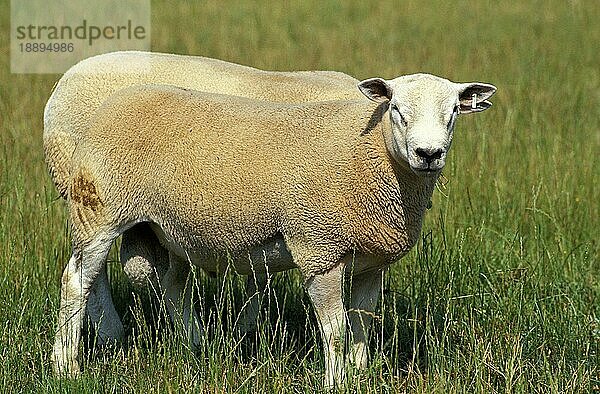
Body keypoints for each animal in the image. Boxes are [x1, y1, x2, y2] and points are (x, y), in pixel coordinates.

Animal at [51, 74, 494, 388]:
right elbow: (335, 332)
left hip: (162, 227)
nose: (428, 154)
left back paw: (197, 347)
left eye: (454, 112)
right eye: (397, 108)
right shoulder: (320, 248)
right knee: (77, 282)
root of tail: (115, 102)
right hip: (100, 209)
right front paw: (336, 382)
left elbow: (363, 325)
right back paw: (65, 365)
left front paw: (361, 374)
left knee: (172, 284)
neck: (373, 157)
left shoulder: (372, 262)